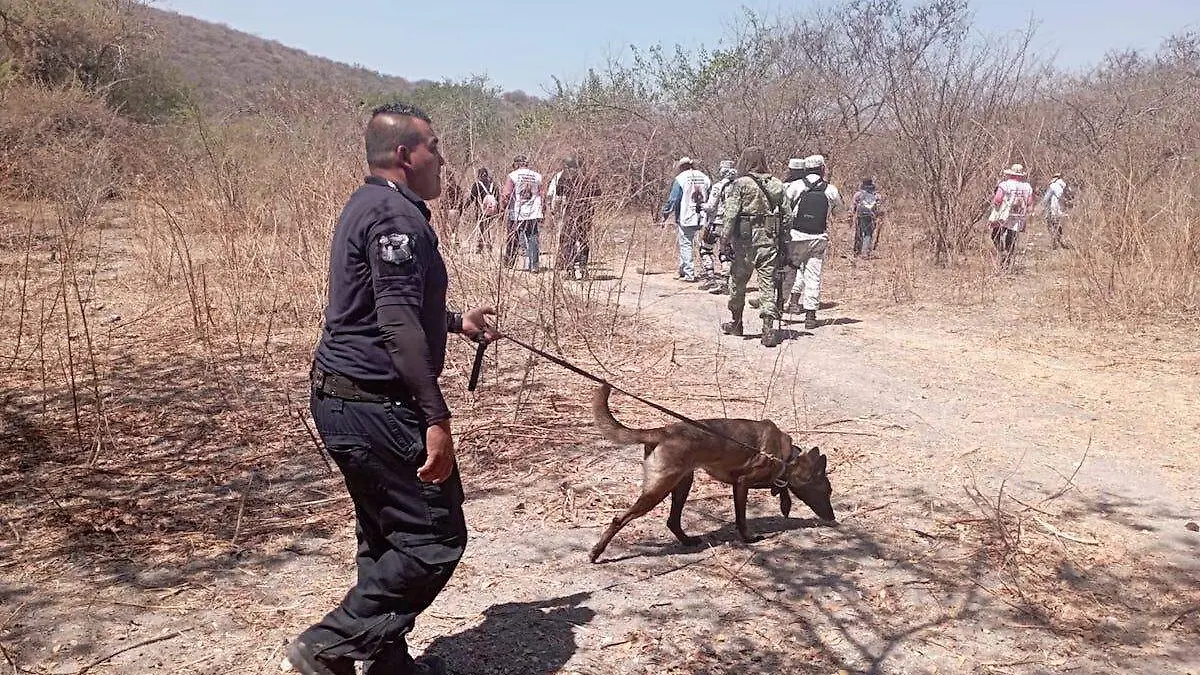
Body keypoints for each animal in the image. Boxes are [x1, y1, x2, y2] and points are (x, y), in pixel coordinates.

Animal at [588, 381, 835, 559]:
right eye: (827, 491)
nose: (833, 518)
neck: (788, 458)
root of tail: (663, 431)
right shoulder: (742, 482)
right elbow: (742, 516)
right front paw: (749, 537)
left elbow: (780, 486)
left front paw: (785, 503)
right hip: (658, 490)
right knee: (619, 519)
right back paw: (596, 552)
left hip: (682, 483)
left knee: (672, 521)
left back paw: (687, 541)